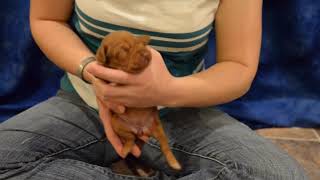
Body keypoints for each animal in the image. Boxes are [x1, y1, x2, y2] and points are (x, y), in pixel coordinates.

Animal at [95, 31, 181, 170]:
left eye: (140, 43)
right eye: (124, 50)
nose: (145, 53)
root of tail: (140, 129)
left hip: (157, 128)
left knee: (165, 146)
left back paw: (174, 163)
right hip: (116, 123)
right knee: (130, 138)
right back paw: (126, 149)